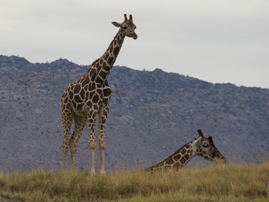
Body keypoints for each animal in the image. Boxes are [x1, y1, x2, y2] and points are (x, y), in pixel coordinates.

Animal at [60, 13, 137, 174]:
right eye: (124, 26)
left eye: (135, 26)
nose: (135, 35)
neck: (103, 76)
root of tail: (63, 94)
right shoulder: (92, 108)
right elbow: (92, 143)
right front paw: (92, 173)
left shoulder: (104, 108)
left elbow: (102, 142)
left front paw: (102, 172)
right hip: (66, 112)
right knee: (64, 142)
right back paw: (63, 172)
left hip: (80, 117)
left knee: (73, 142)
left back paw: (73, 172)